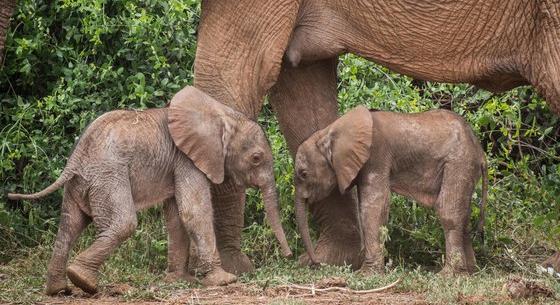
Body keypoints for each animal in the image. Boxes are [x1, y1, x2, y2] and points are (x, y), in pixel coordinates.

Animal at [7, 85, 294, 294]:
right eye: (256, 158)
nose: (289, 255)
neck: (221, 115)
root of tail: (75, 158)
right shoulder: (187, 159)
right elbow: (194, 212)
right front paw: (224, 280)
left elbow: (176, 216)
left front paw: (180, 281)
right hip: (108, 176)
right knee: (123, 223)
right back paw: (84, 281)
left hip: (82, 182)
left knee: (69, 225)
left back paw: (59, 289)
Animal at [294, 105, 486, 274]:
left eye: (303, 174)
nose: (315, 263)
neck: (329, 132)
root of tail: (481, 152)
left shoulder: (376, 156)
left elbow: (373, 207)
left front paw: (366, 274)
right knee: (464, 216)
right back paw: (469, 272)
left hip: (459, 162)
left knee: (448, 211)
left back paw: (448, 275)